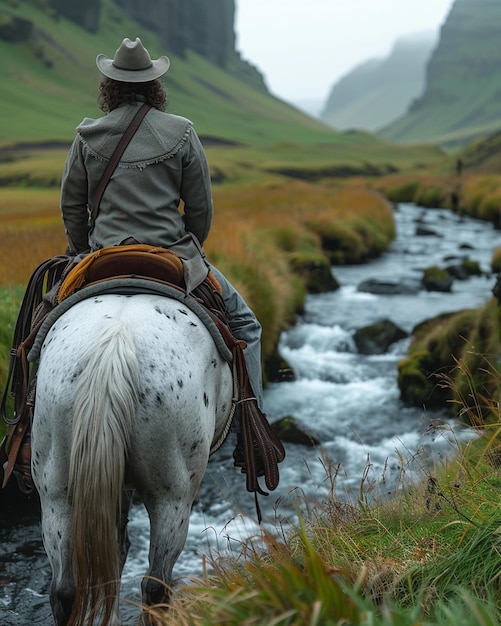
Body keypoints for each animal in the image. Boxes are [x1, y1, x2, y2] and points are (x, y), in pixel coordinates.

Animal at [30, 292, 233, 624]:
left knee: (64, 590)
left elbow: (114, 550)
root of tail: (115, 341)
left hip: (55, 491)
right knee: (156, 584)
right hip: (172, 495)